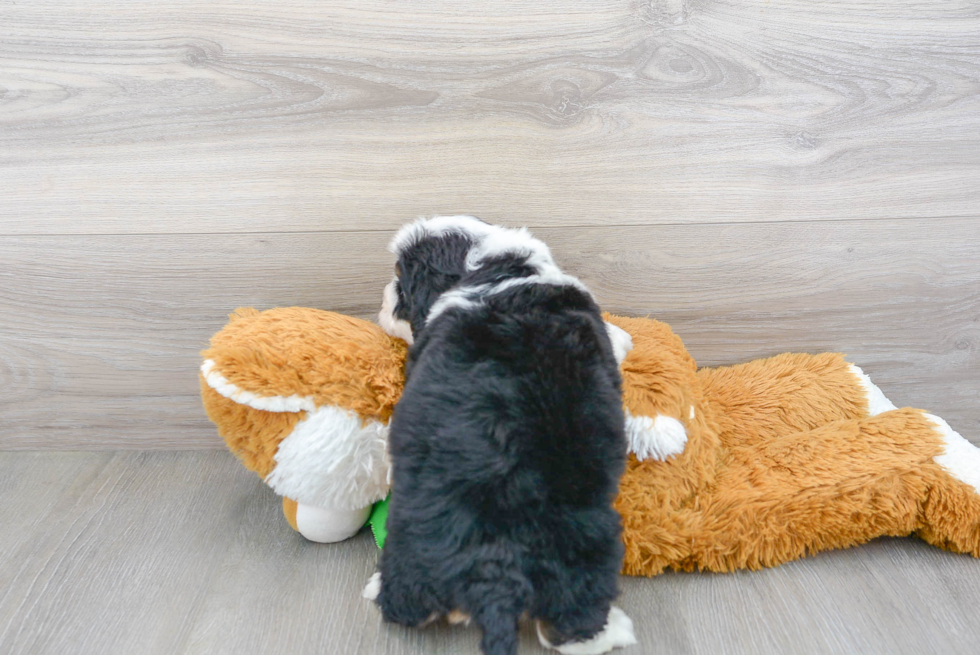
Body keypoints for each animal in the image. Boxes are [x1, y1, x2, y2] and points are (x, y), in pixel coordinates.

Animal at [366, 217, 636, 655]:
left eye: (400, 282)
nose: (385, 295)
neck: (492, 270)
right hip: (586, 541)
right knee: (570, 621)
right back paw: (612, 631)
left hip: (416, 540)